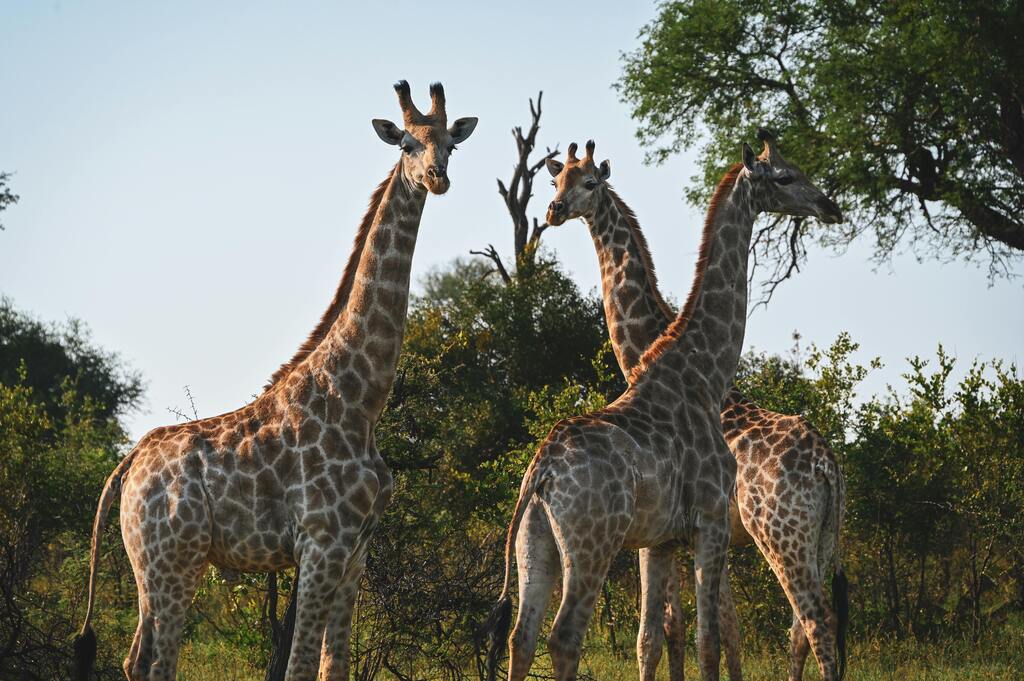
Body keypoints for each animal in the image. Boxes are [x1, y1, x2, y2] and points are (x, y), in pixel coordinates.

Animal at [72, 80, 477, 681]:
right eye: (406, 143)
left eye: (450, 143)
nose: (437, 177)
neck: (361, 401)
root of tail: (129, 463)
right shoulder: (321, 544)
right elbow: (300, 664)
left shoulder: (357, 552)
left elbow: (333, 665)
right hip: (174, 560)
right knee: (156, 660)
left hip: (151, 565)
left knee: (135, 658)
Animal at [484, 135, 843, 681]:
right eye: (784, 176)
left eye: (589, 182)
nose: (829, 206)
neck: (698, 371)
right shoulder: (701, 526)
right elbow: (698, 636)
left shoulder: (676, 536)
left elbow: (675, 634)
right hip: (619, 542)